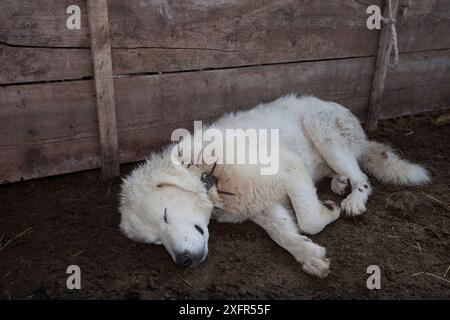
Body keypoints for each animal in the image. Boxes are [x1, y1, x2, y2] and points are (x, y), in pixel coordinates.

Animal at [118, 95, 428, 278]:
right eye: (155, 242)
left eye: (165, 215)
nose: (183, 261)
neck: (213, 175)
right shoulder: (261, 206)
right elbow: (283, 234)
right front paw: (308, 255)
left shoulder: (291, 170)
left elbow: (309, 220)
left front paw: (328, 210)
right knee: (346, 171)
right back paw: (339, 183)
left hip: (322, 130)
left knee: (362, 176)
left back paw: (353, 199)